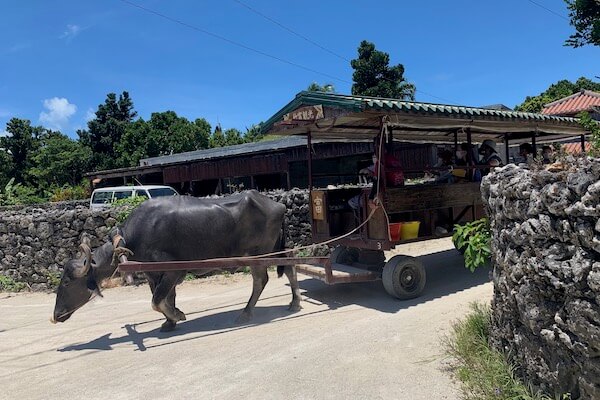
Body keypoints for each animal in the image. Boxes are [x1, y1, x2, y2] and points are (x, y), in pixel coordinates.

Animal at [52, 191, 302, 332]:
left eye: (66, 282)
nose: (55, 316)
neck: (132, 237)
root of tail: (278, 205)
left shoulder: (173, 271)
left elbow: (157, 301)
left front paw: (177, 316)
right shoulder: (154, 274)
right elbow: (165, 297)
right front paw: (169, 322)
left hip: (259, 255)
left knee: (262, 279)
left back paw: (247, 313)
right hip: (270, 251)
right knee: (287, 266)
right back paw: (293, 303)